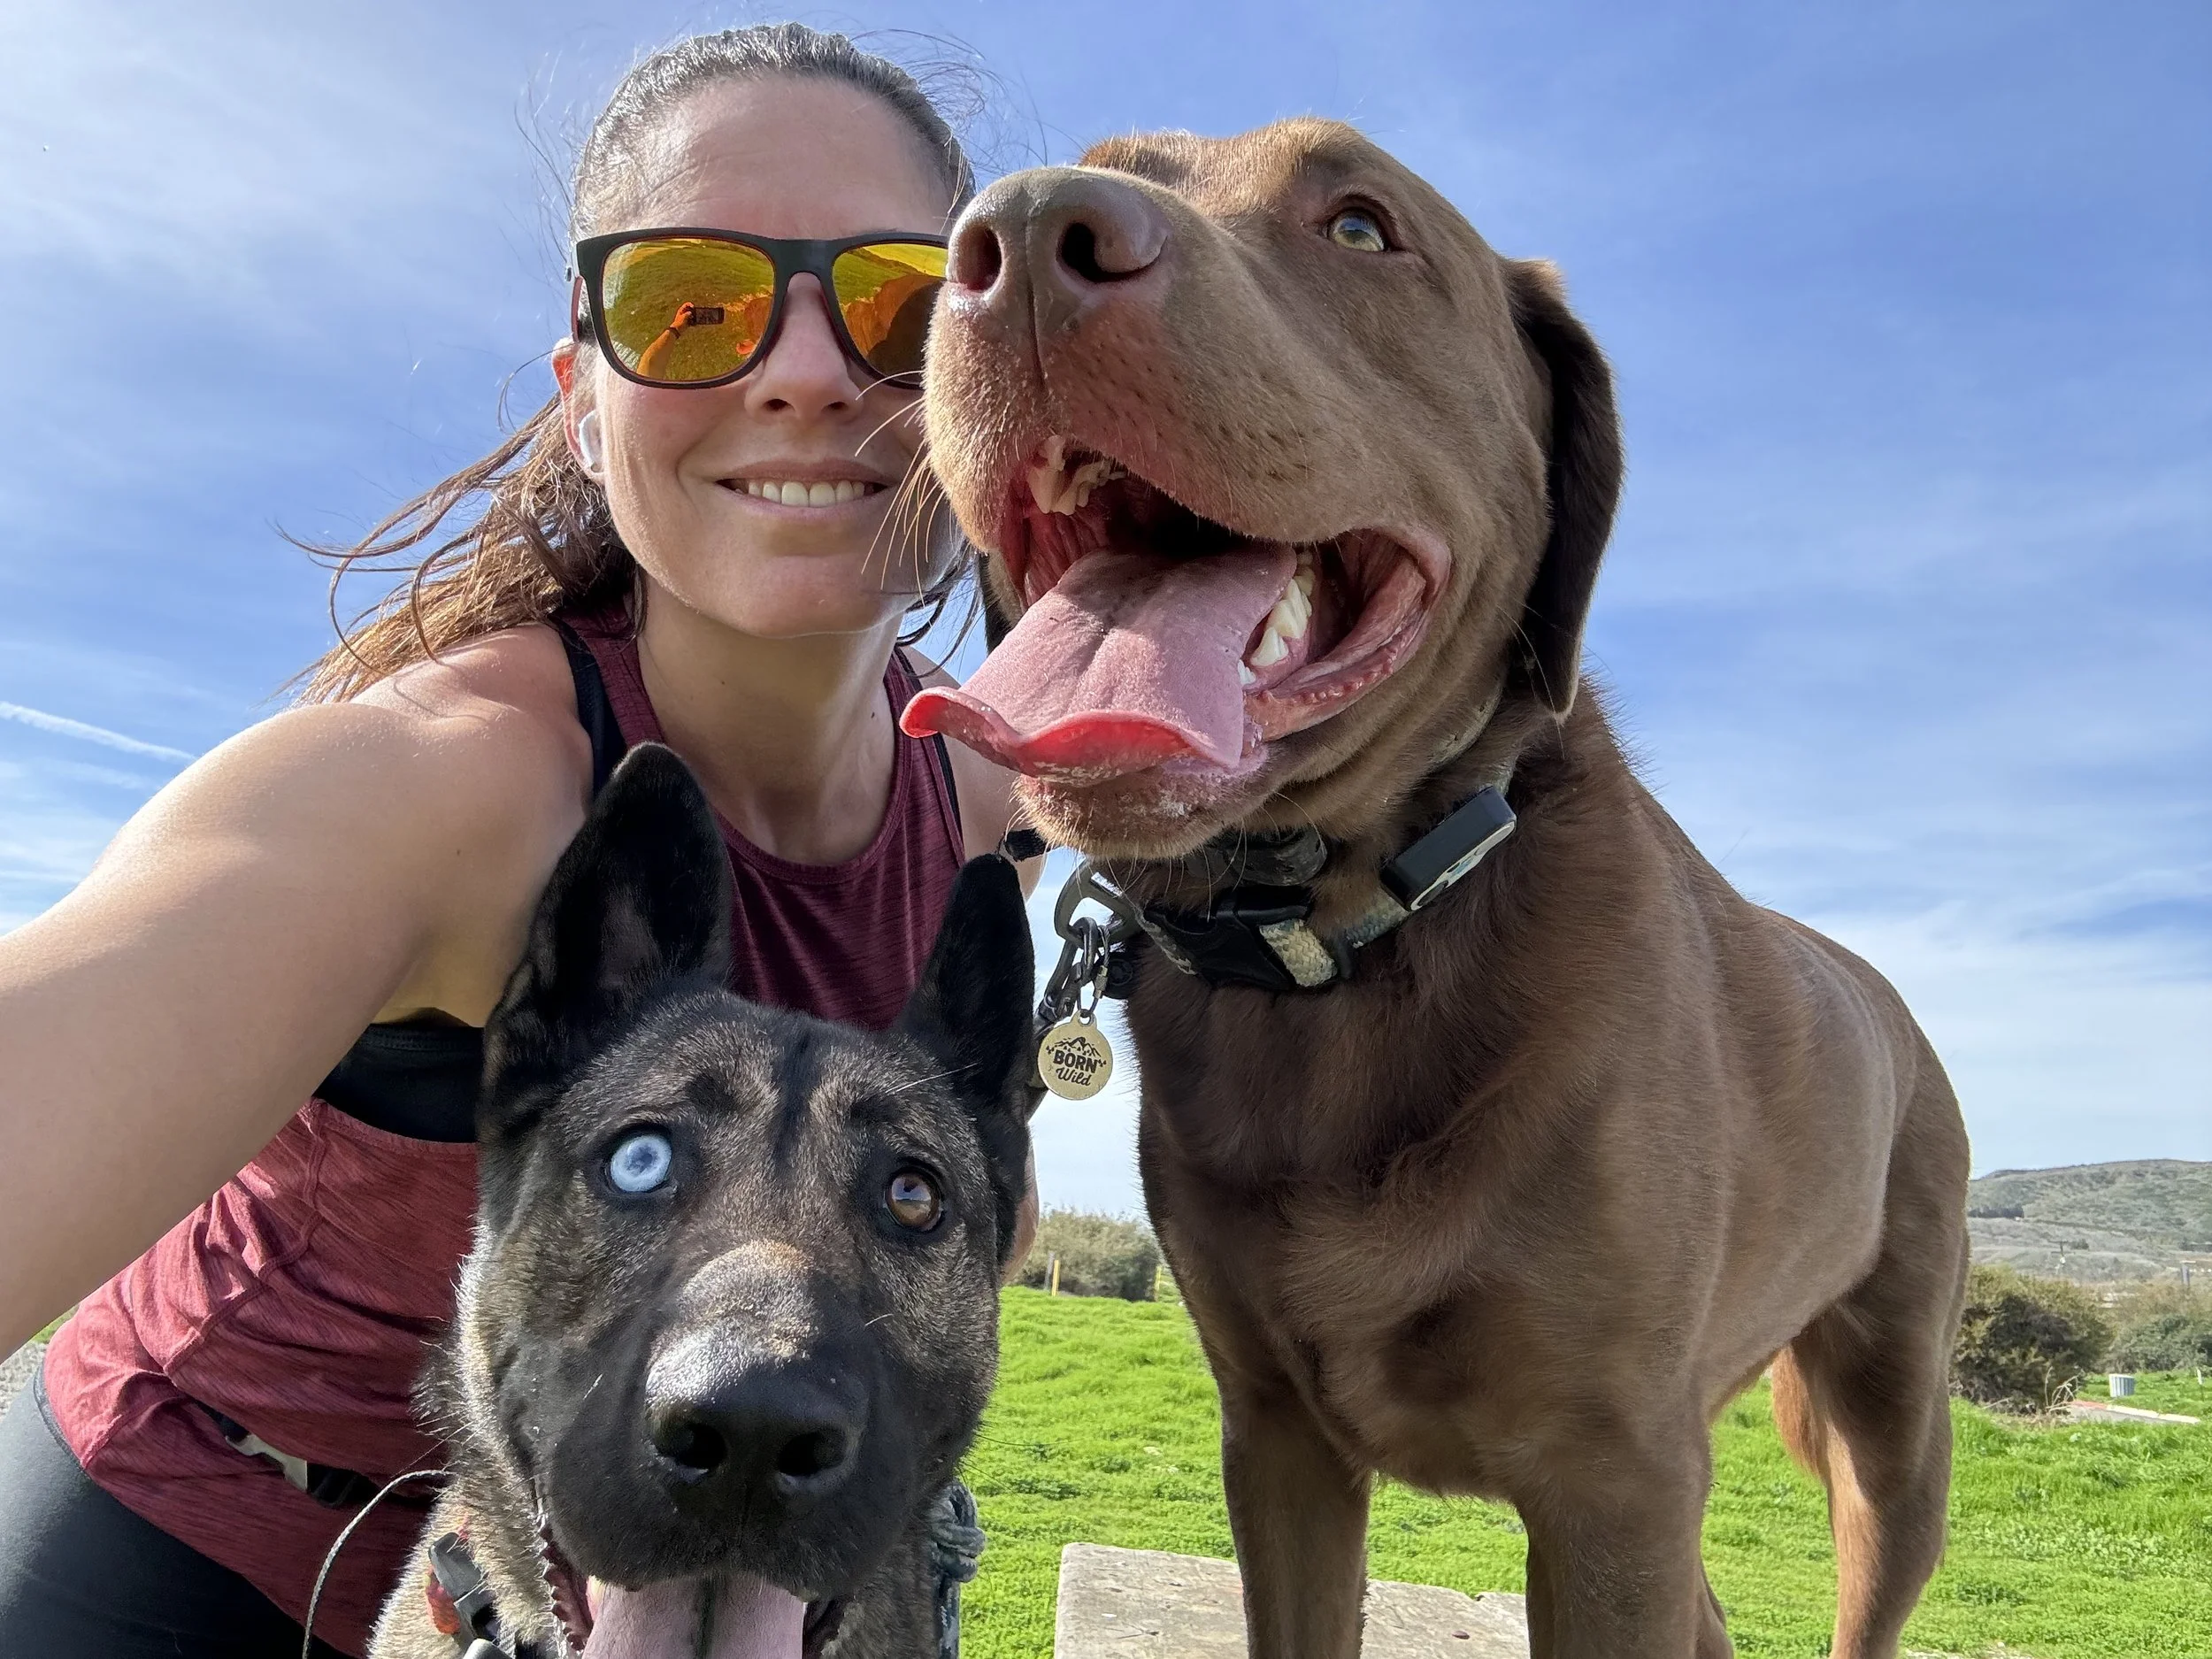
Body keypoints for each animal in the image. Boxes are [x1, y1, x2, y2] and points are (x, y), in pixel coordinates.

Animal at [903, 121, 1972, 1659]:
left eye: (1361, 225)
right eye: (1104, 162)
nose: (1022, 235)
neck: (1344, 940)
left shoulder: (1615, 1482)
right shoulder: (1276, 1438)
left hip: (1891, 1425)